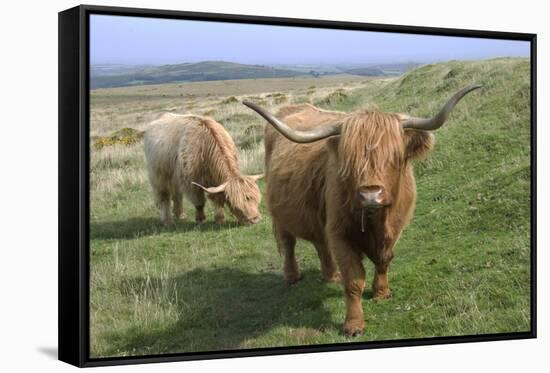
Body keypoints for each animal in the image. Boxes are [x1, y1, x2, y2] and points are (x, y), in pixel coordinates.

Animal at [246, 85, 484, 338]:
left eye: (394, 157)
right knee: (288, 243)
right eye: (350, 161)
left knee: (320, 243)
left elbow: (384, 260)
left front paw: (381, 292)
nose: (371, 195)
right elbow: (353, 279)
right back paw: (292, 276)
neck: (376, 221)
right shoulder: (340, 233)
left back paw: (331, 275)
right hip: (279, 213)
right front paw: (354, 325)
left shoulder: (395, 228)